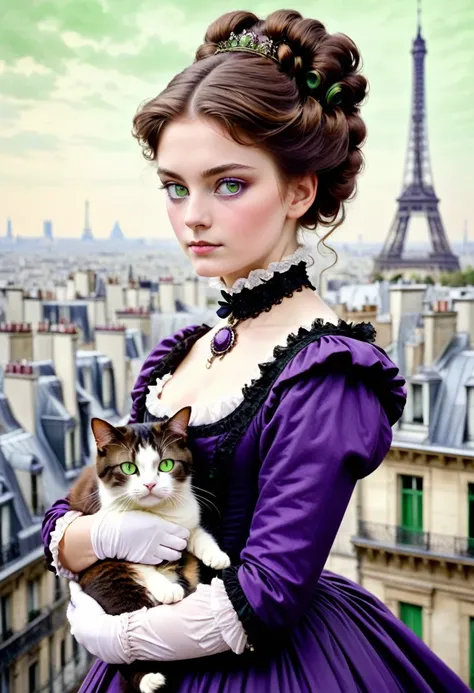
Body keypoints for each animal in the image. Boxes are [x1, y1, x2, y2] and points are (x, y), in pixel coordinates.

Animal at [67, 406, 229, 692]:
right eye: (128, 467)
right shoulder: (109, 539)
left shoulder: (186, 516)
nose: (150, 485)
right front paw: (164, 587)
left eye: (166, 464)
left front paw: (216, 555)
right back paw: (148, 678)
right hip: (111, 584)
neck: (158, 513)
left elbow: (195, 532)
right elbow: (136, 561)